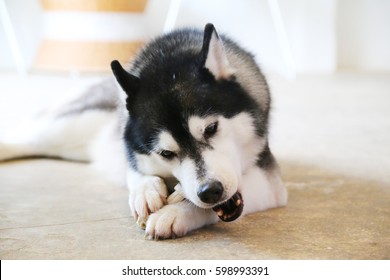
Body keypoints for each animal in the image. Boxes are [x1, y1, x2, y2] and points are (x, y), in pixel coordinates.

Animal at [0, 23, 286, 240]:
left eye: (211, 128)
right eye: (166, 153)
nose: (210, 191)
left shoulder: (271, 184)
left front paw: (177, 211)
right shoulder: (130, 149)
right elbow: (135, 172)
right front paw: (146, 191)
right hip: (65, 130)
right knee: (28, 137)